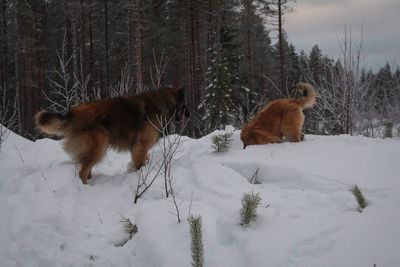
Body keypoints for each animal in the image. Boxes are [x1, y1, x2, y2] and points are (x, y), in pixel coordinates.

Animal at [34, 87, 189, 185]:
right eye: (184, 105)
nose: (189, 114)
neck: (162, 103)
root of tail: (73, 113)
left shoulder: (142, 148)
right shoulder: (141, 145)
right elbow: (139, 163)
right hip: (99, 146)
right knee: (82, 172)